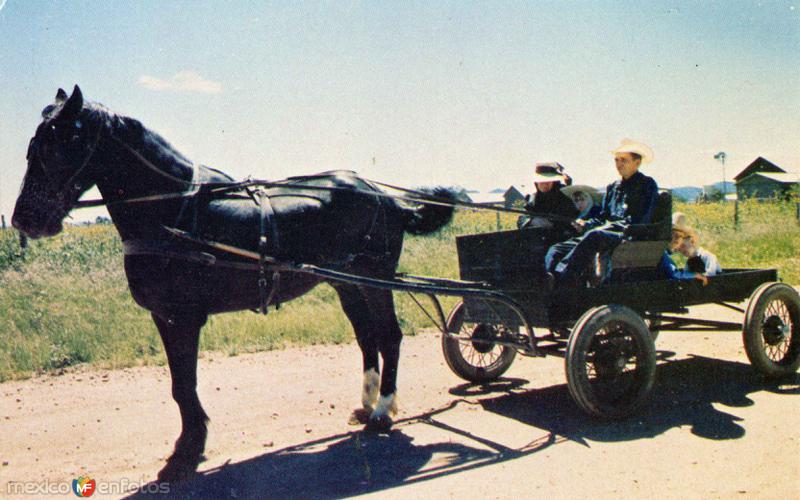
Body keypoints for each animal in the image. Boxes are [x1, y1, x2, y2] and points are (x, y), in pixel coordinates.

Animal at [10, 86, 456, 480]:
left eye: (61, 141)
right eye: (34, 144)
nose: (23, 219)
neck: (173, 209)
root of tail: (386, 196)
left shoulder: (182, 317)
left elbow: (184, 383)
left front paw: (189, 446)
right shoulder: (163, 317)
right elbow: (179, 384)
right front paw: (190, 441)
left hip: (375, 277)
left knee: (389, 336)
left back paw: (382, 411)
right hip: (346, 283)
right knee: (367, 337)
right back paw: (366, 404)